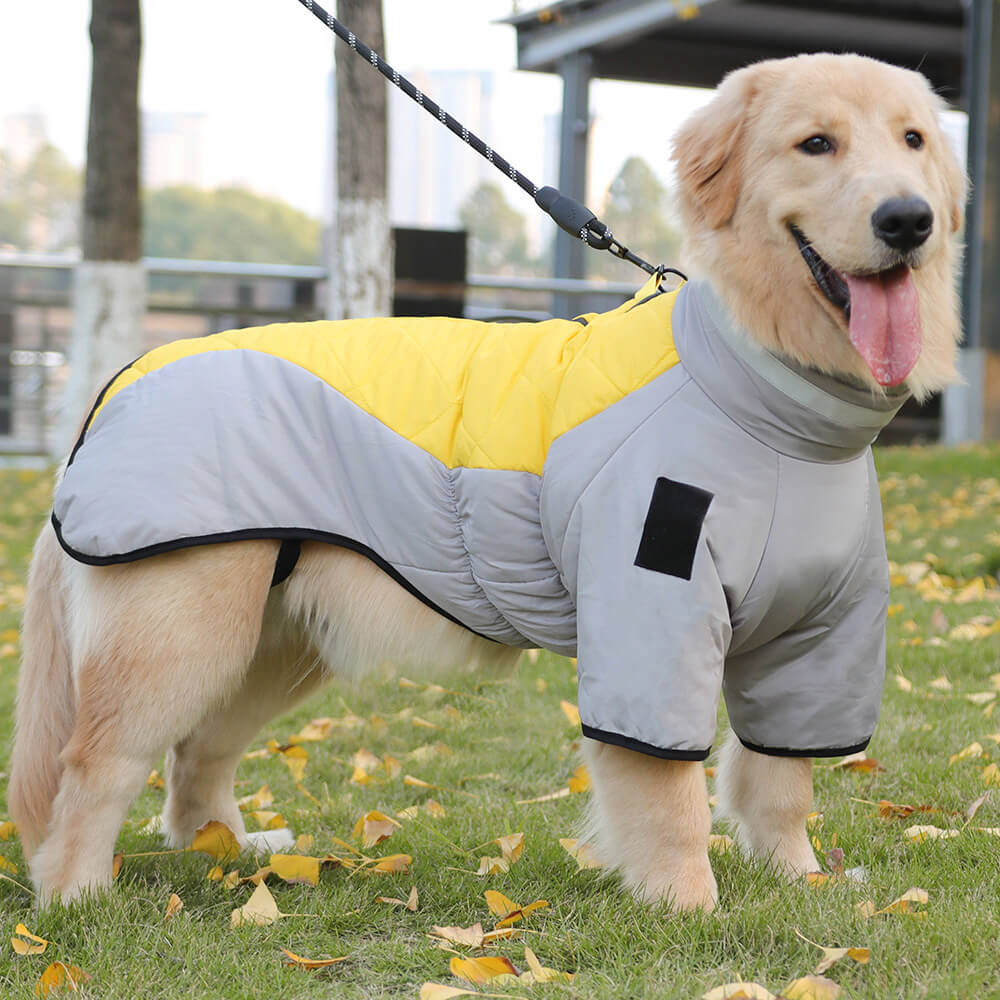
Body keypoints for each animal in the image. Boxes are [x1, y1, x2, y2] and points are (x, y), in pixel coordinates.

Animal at [5, 54, 960, 912]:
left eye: (913, 140)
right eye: (816, 143)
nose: (908, 219)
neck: (764, 395)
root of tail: (120, 379)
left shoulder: (817, 639)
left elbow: (780, 779)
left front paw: (800, 879)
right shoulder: (651, 624)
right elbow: (672, 799)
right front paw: (692, 908)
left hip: (275, 640)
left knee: (197, 751)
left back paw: (229, 849)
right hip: (182, 633)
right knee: (95, 762)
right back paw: (76, 895)